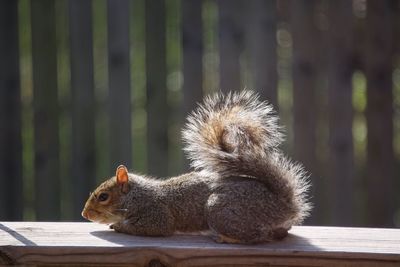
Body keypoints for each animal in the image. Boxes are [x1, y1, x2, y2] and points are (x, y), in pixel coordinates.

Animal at [82, 91, 312, 244]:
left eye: (103, 197)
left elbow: (153, 227)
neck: (135, 195)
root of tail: (284, 205)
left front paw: (119, 226)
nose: (85, 215)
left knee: (258, 236)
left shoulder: (157, 215)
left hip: (220, 209)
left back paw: (225, 238)